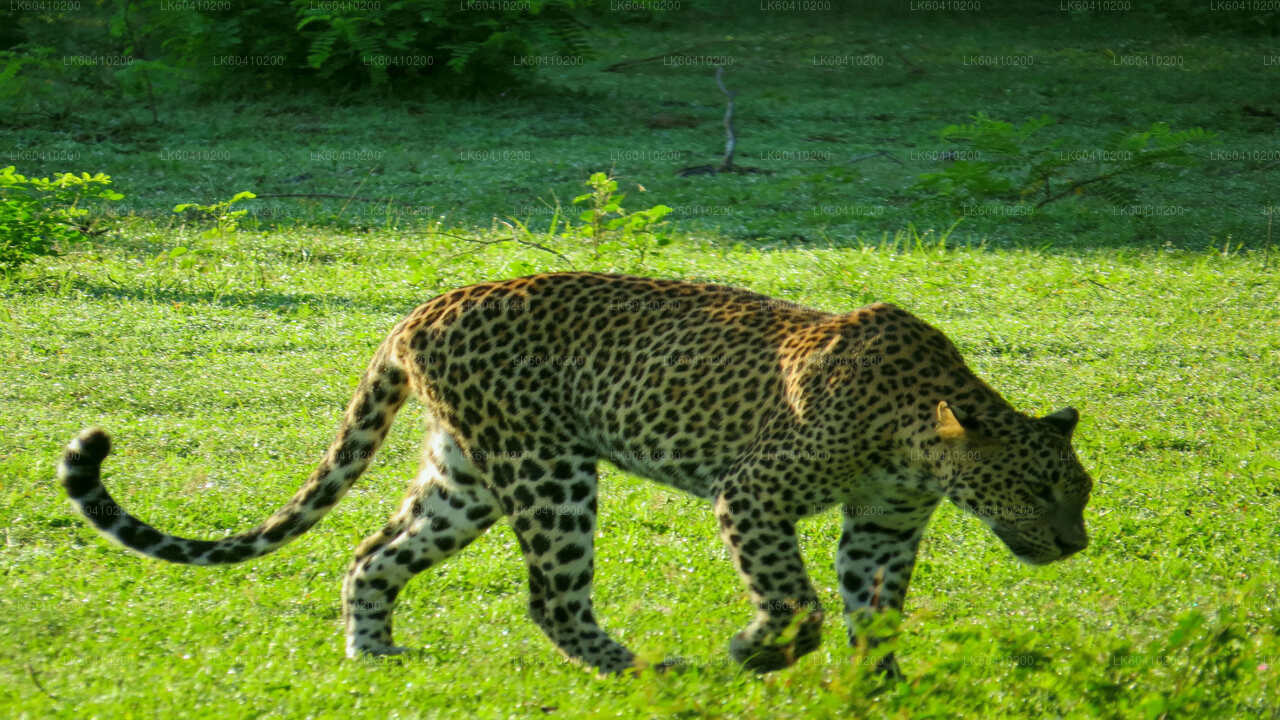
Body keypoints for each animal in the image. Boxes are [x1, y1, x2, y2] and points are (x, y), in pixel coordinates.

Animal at [58, 272, 1093, 675]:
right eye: (1042, 491)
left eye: (1077, 493)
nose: (1076, 545)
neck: (923, 437)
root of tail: (424, 306)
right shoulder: (753, 494)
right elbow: (794, 600)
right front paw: (755, 652)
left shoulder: (882, 524)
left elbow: (876, 615)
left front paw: (879, 687)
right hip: (548, 470)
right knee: (551, 598)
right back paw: (642, 670)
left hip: (466, 477)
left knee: (371, 552)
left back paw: (374, 655)